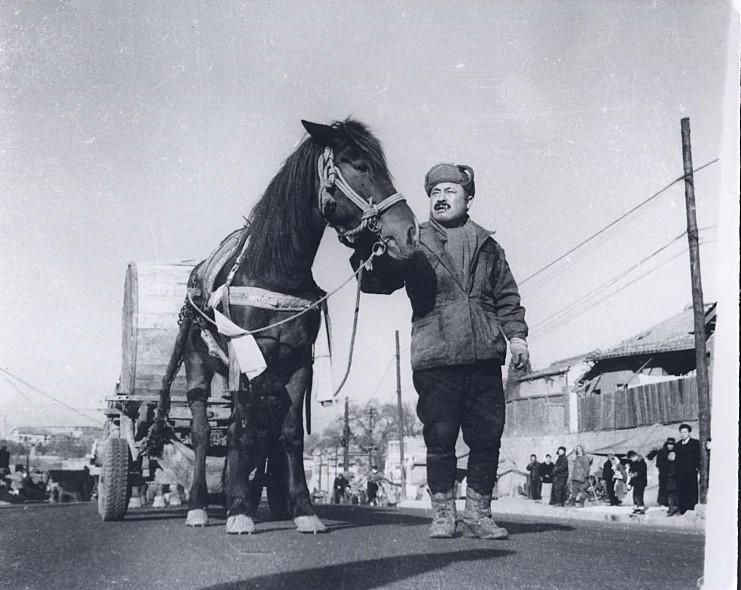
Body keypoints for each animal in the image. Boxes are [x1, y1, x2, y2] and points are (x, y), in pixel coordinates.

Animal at [152, 118, 416, 536]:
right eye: (361, 165)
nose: (409, 232)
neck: (277, 272)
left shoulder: (298, 363)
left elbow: (289, 435)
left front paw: (302, 509)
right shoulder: (248, 357)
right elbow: (243, 431)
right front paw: (240, 511)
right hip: (197, 366)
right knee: (201, 431)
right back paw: (199, 506)